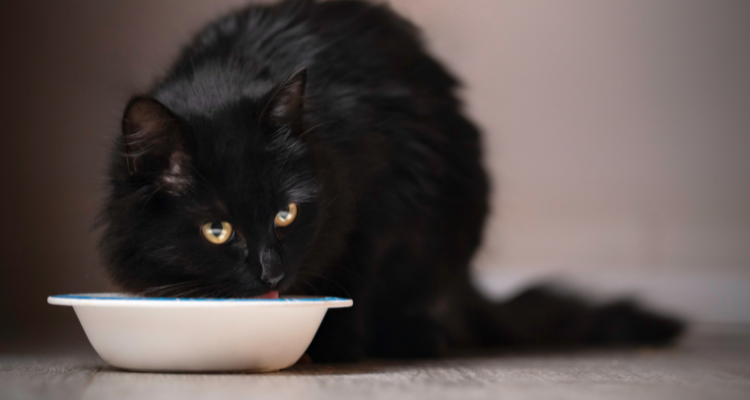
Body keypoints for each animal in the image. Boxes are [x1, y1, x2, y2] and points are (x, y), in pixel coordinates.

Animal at [101, 0, 688, 362]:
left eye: (286, 214)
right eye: (217, 231)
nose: (272, 274)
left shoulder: (383, 201)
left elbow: (354, 279)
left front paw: (334, 348)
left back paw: (414, 337)